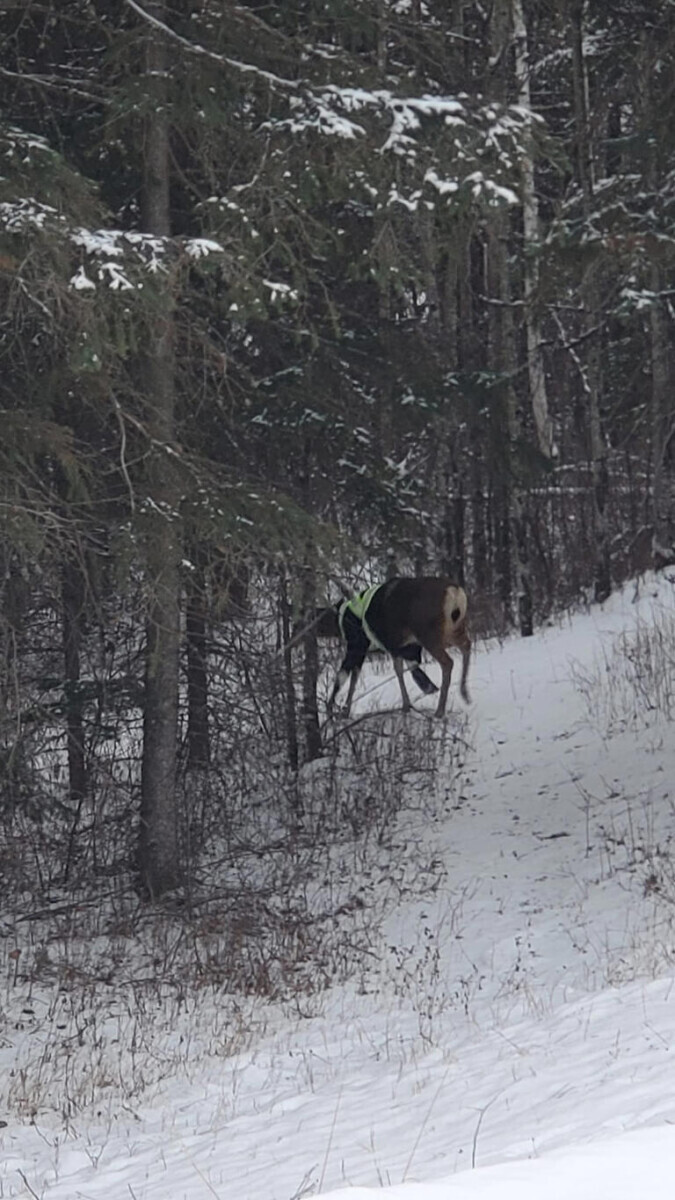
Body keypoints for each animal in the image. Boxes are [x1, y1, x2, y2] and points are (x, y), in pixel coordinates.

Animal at [312, 576, 470, 715]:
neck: (342, 619)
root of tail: (455, 592)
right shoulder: (404, 647)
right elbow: (357, 677)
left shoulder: (360, 644)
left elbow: (343, 675)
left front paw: (333, 710)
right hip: (453, 629)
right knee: (467, 645)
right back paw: (464, 693)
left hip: (428, 632)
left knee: (448, 662)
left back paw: (440, 711)